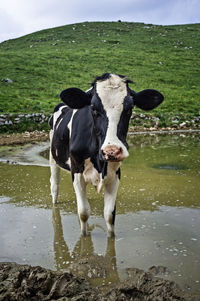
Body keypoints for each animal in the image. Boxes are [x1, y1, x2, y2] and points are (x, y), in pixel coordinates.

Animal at [48, 71, 164, 236]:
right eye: (93, 108)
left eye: (129, 108)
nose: (112, 150)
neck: (98, 161)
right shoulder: (77, 171)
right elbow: (83, 212)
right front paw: (84, 236)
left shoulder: (115, 175)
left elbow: (109, 215)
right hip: (53, 156)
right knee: (55, 184)